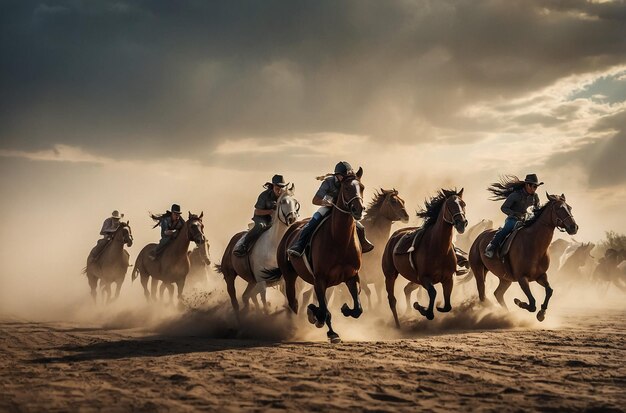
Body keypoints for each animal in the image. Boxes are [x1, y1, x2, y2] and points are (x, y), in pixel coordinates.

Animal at [214, 185, 300, 318]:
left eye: (296, 202)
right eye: (282, 202)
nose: (292, 218)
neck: (273, 246)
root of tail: (232, 243)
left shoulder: (283, 279)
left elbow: (288, 299)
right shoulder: (261, 280)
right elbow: (264, 300)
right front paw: (266, 313)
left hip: (251, 281)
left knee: (245, 296)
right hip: (229, 276)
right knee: (235, 302)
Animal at [276, 167, 366, 342]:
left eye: (362, 187)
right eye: (346, 188)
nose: (358, 209)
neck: (339, 240)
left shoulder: (352, 276)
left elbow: (357, 309)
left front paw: (345, 309)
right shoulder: (320, 279)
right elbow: (324, 311)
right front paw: (317, 317)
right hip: (289, 276)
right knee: (293, 302)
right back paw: (293, 328)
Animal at [378, 188, 466, 326]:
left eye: (463, 204)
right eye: (449, 205)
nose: (461, 223)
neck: (438, 248)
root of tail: (394, 235)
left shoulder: (448, 279)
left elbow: (447, 306)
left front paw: (435, 307)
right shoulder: (424, 278)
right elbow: (433, 293)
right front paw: (423, 309)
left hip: (412, 278)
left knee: (407, 289)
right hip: (390, 274)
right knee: (392, 299)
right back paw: (398, 325)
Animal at [468, 193, 576, 322]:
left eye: (569, 207)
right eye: (559, 208)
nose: (574, 227)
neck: (534, 245)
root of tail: (478, 238)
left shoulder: (540, 276)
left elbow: (549, 291)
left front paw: (542, 313)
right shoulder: (522, 278)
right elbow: (532, 303)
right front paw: (519, 302)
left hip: (505, 279)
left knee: (498, 293)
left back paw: (506, 314)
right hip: (478, 270)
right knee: (482, 295)